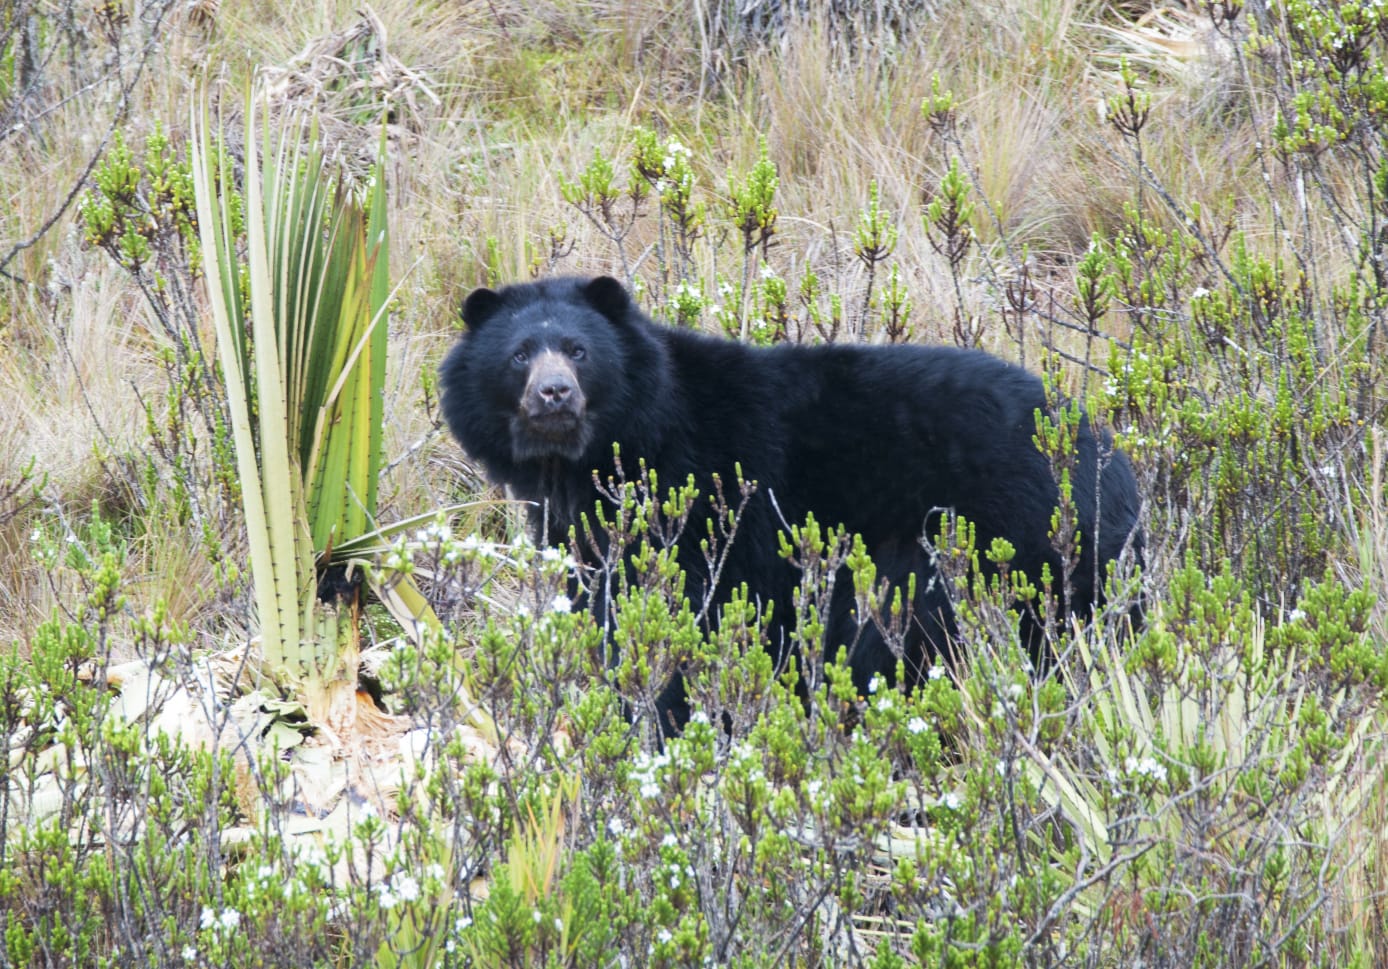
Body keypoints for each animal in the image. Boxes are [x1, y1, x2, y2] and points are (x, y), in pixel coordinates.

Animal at [438, 274, 1143, 727]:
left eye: (579, 352)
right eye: (518, 355)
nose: (554, 393)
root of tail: (1110, 459)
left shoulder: (703, 504)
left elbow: (689, 612)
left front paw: (664, 715)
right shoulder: (585, 527)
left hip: (1005, 542)